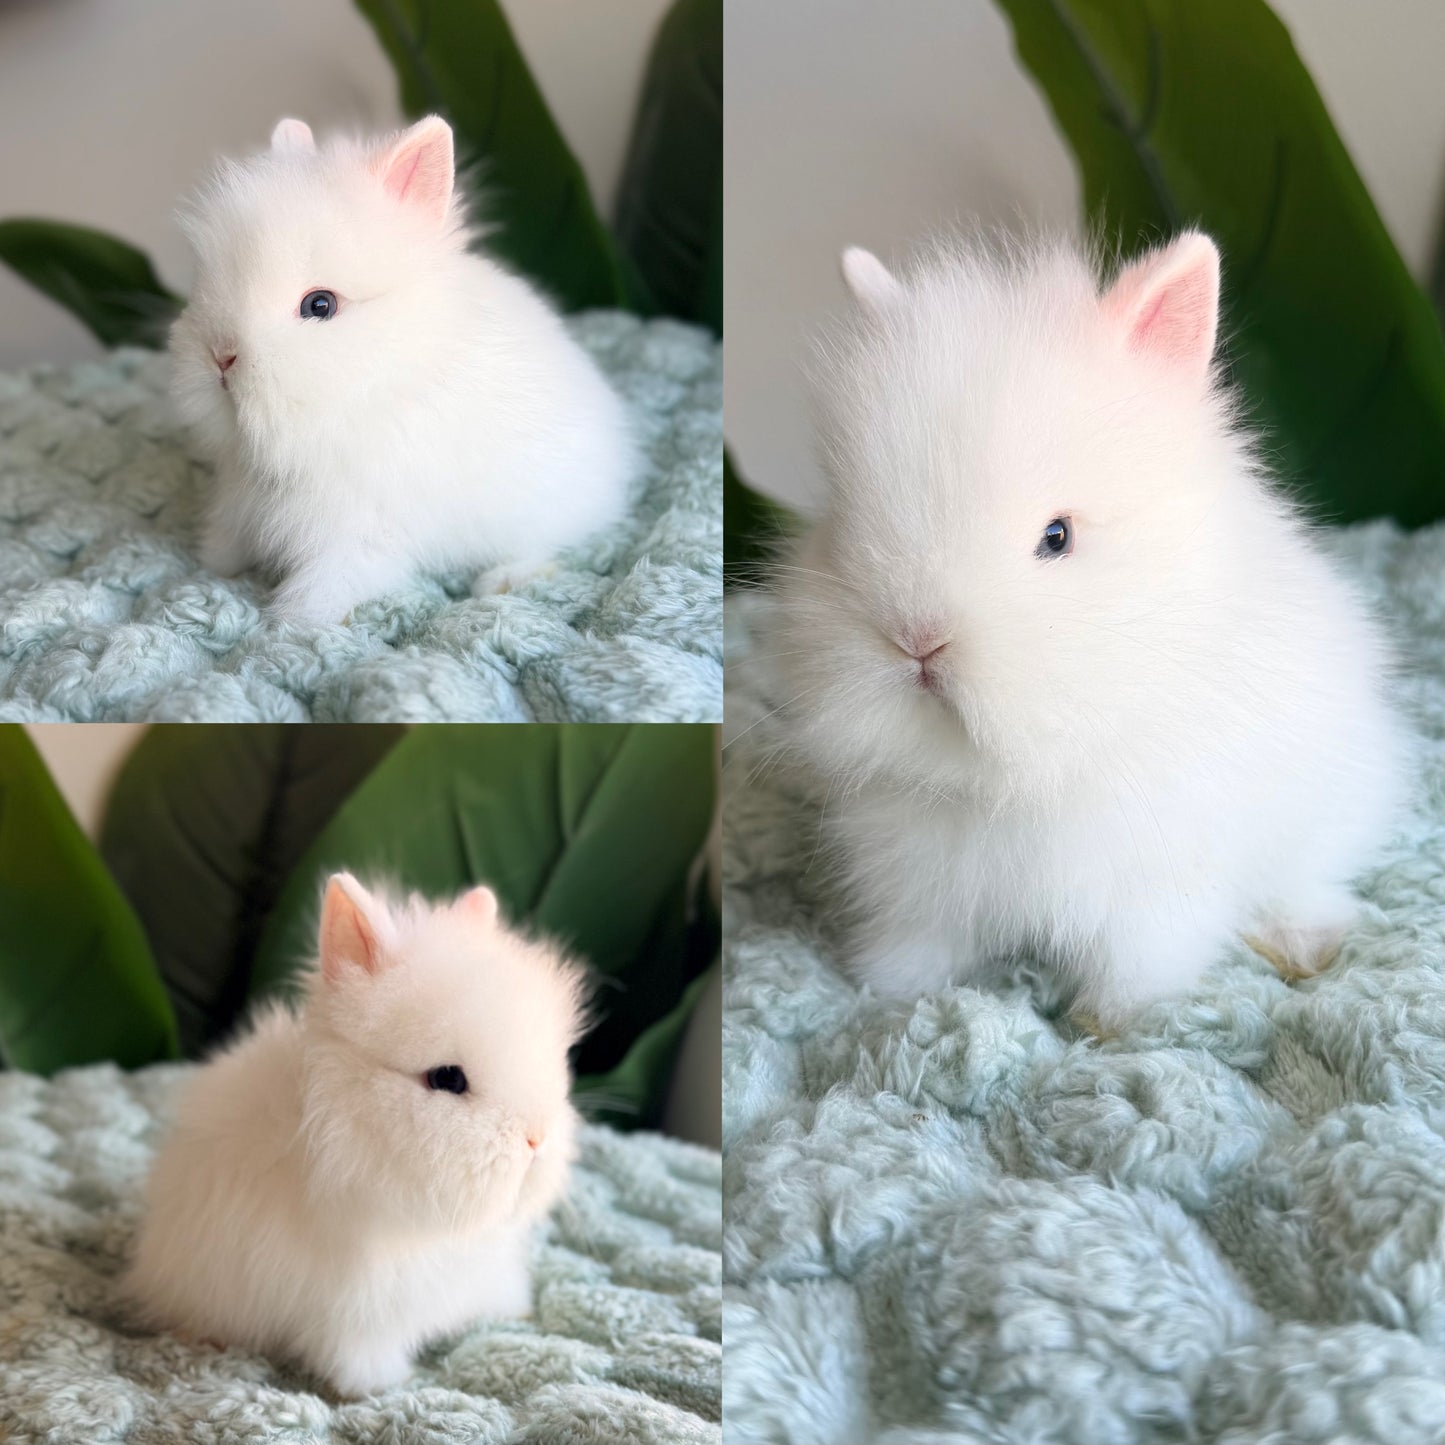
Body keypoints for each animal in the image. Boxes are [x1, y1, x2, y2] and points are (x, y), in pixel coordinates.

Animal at [125, 872, 587, 1397]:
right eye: (448, 1078)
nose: (536, 1141)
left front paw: (514, 1310)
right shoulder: (358, 1313)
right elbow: (361, 1359)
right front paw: (389, 1386)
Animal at [168, 115, 638, 625]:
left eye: (320, 305)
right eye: (206, 280)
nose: (220, 356)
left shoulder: (362, 534)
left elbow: (327, 585)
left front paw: (291, 623)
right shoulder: (239, 503)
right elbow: (229, 541)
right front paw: (213, 565)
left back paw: (499, 582)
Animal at [766, 230, 1408, 1029]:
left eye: (1057, 536)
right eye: (845, 520)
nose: (916, 639)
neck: (1003, 783)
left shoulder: (1155, 891)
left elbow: (1136, 965)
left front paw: (1108, 1026)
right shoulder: (919, 888)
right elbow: (919, 948)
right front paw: (888, 995)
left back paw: (1303, 946)